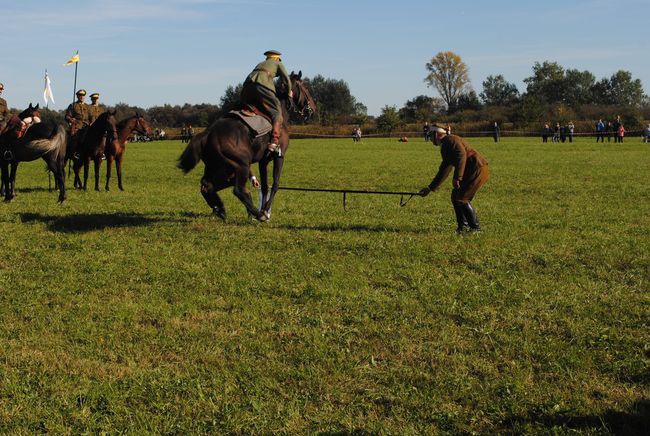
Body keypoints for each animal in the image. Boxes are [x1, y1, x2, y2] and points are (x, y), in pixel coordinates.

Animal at [178, 72, 316, 221]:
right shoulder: (279, 156)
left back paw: (221, 209)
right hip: (240, 165)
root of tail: (208, 133)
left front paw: (263, 208)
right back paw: (256, 214)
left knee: (207, 186)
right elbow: (275, 184)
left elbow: (265, 186)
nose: (313, 108)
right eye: (305, 88)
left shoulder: (263, 161)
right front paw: (265, 211)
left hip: (215, 166)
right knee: (238, 190)